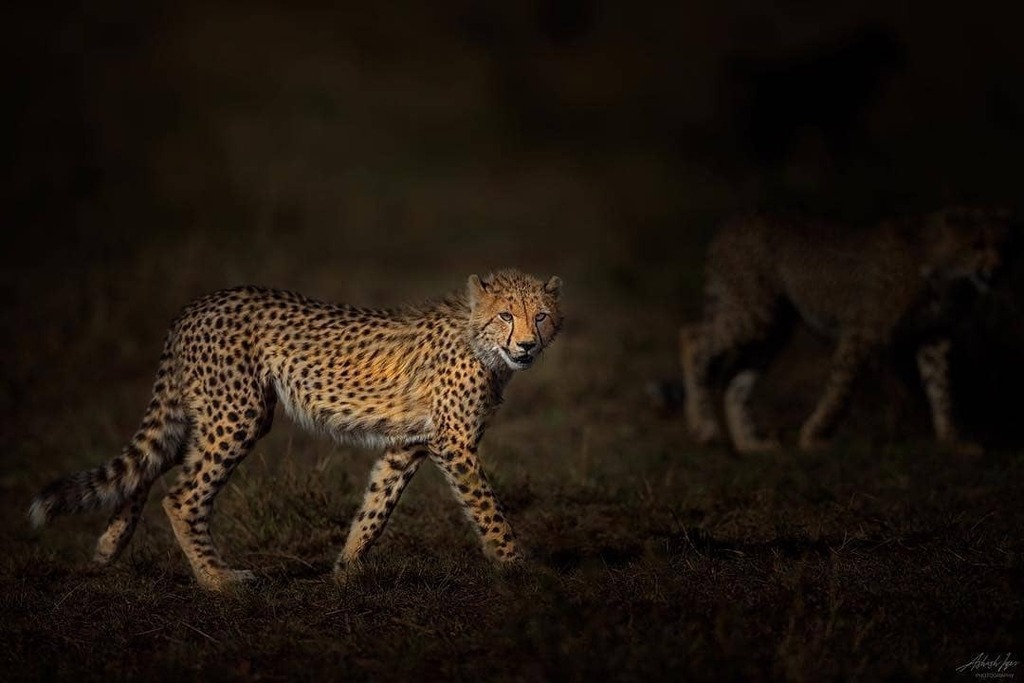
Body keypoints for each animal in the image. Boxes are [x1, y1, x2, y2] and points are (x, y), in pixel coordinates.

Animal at [29, 269, 563, 591]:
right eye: (506, 315)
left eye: (540, 316)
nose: (527, 345)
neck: (480, 340)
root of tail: (196, 305)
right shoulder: (453, 443)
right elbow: (488, 510)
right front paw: (520, 569)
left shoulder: (408, 443)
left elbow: (376, 507)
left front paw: (345, 570)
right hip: (237, 414)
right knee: (180, 496)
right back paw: (218, 580)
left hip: (198, 414)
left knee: (146, 467)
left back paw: (109, 546)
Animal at [679, 206, 1010, 454]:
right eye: (977, 245)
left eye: (1006, 246)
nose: (997, 271)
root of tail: (733, 221)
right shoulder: (861, 332)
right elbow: (841, 389)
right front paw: (813, 437)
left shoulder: (934, 338)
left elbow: (942, 391)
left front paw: (953, 441)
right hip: (755, 313)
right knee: (693, 338)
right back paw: (704, 427)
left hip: (774, 329)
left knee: (736, 382)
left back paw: (750, 444)